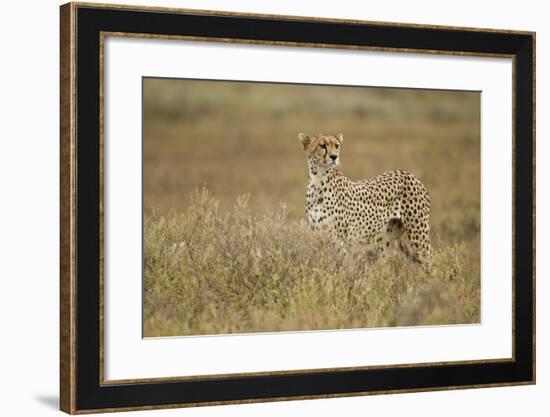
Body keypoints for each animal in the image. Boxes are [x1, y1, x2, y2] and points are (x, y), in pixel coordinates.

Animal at [300, 132, 434, 264]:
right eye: (322, 146)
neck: (318, 180)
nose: (334, 157)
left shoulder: (340, 240)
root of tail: (410, 174)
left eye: (337, 146)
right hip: (386, 240)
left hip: (418, 236)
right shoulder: (317, 235)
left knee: (430, 260)